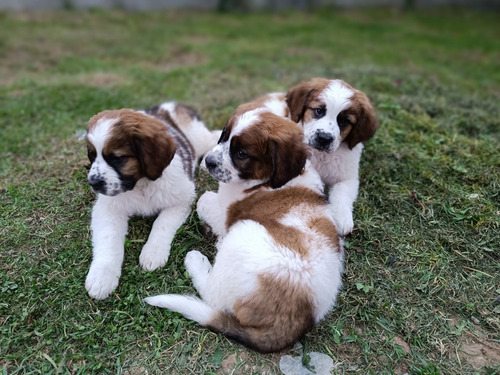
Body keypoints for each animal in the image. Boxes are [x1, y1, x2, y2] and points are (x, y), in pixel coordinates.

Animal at [85, 101, 219, 302]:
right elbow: (109, 239)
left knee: (214, 136)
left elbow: (161, 223)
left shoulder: (182, 199)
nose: (93, 183)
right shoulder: (107, 208)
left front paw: (153, 252)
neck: (141, 184)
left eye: (117, 158)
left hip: (199, 137)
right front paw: (102, 276)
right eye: (91, 155)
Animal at [146, 109, 344, 356]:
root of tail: (292, 323)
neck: (264, 180)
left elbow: (203, 201)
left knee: (213, 296)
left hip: (244, 232)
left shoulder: (226, 214)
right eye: (224, 136)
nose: (208, 162)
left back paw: (197, 260)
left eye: (241, 154)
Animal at [230, 79, 378, 235]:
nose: (324, 138)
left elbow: (341, 193)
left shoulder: (348, 176)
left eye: (344, 121)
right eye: (319, 111)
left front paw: (342, 218)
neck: (320, 155)